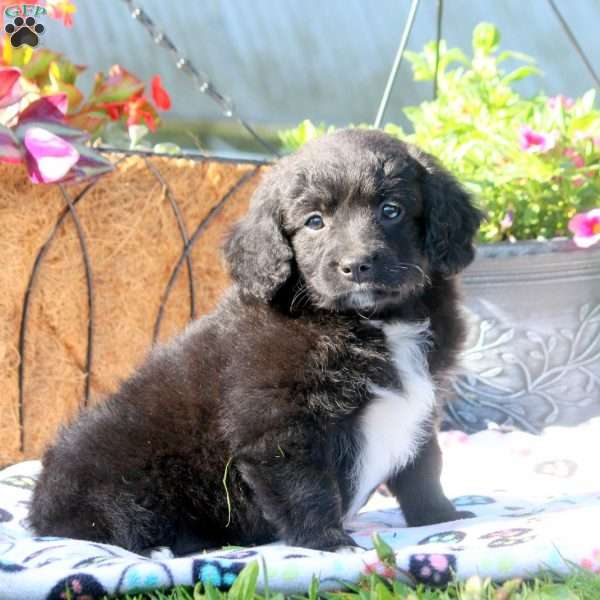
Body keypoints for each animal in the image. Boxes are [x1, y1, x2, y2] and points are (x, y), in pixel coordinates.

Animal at [30, 129, 482, 556]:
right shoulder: (277, 424)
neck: (373, 322)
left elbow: (424, 468)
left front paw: (440, 517)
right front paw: (328, 543)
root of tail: (39, 511)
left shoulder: (422, 407)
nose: (356, 266)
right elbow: (307, 489)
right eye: (314, 221)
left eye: (391, 210)